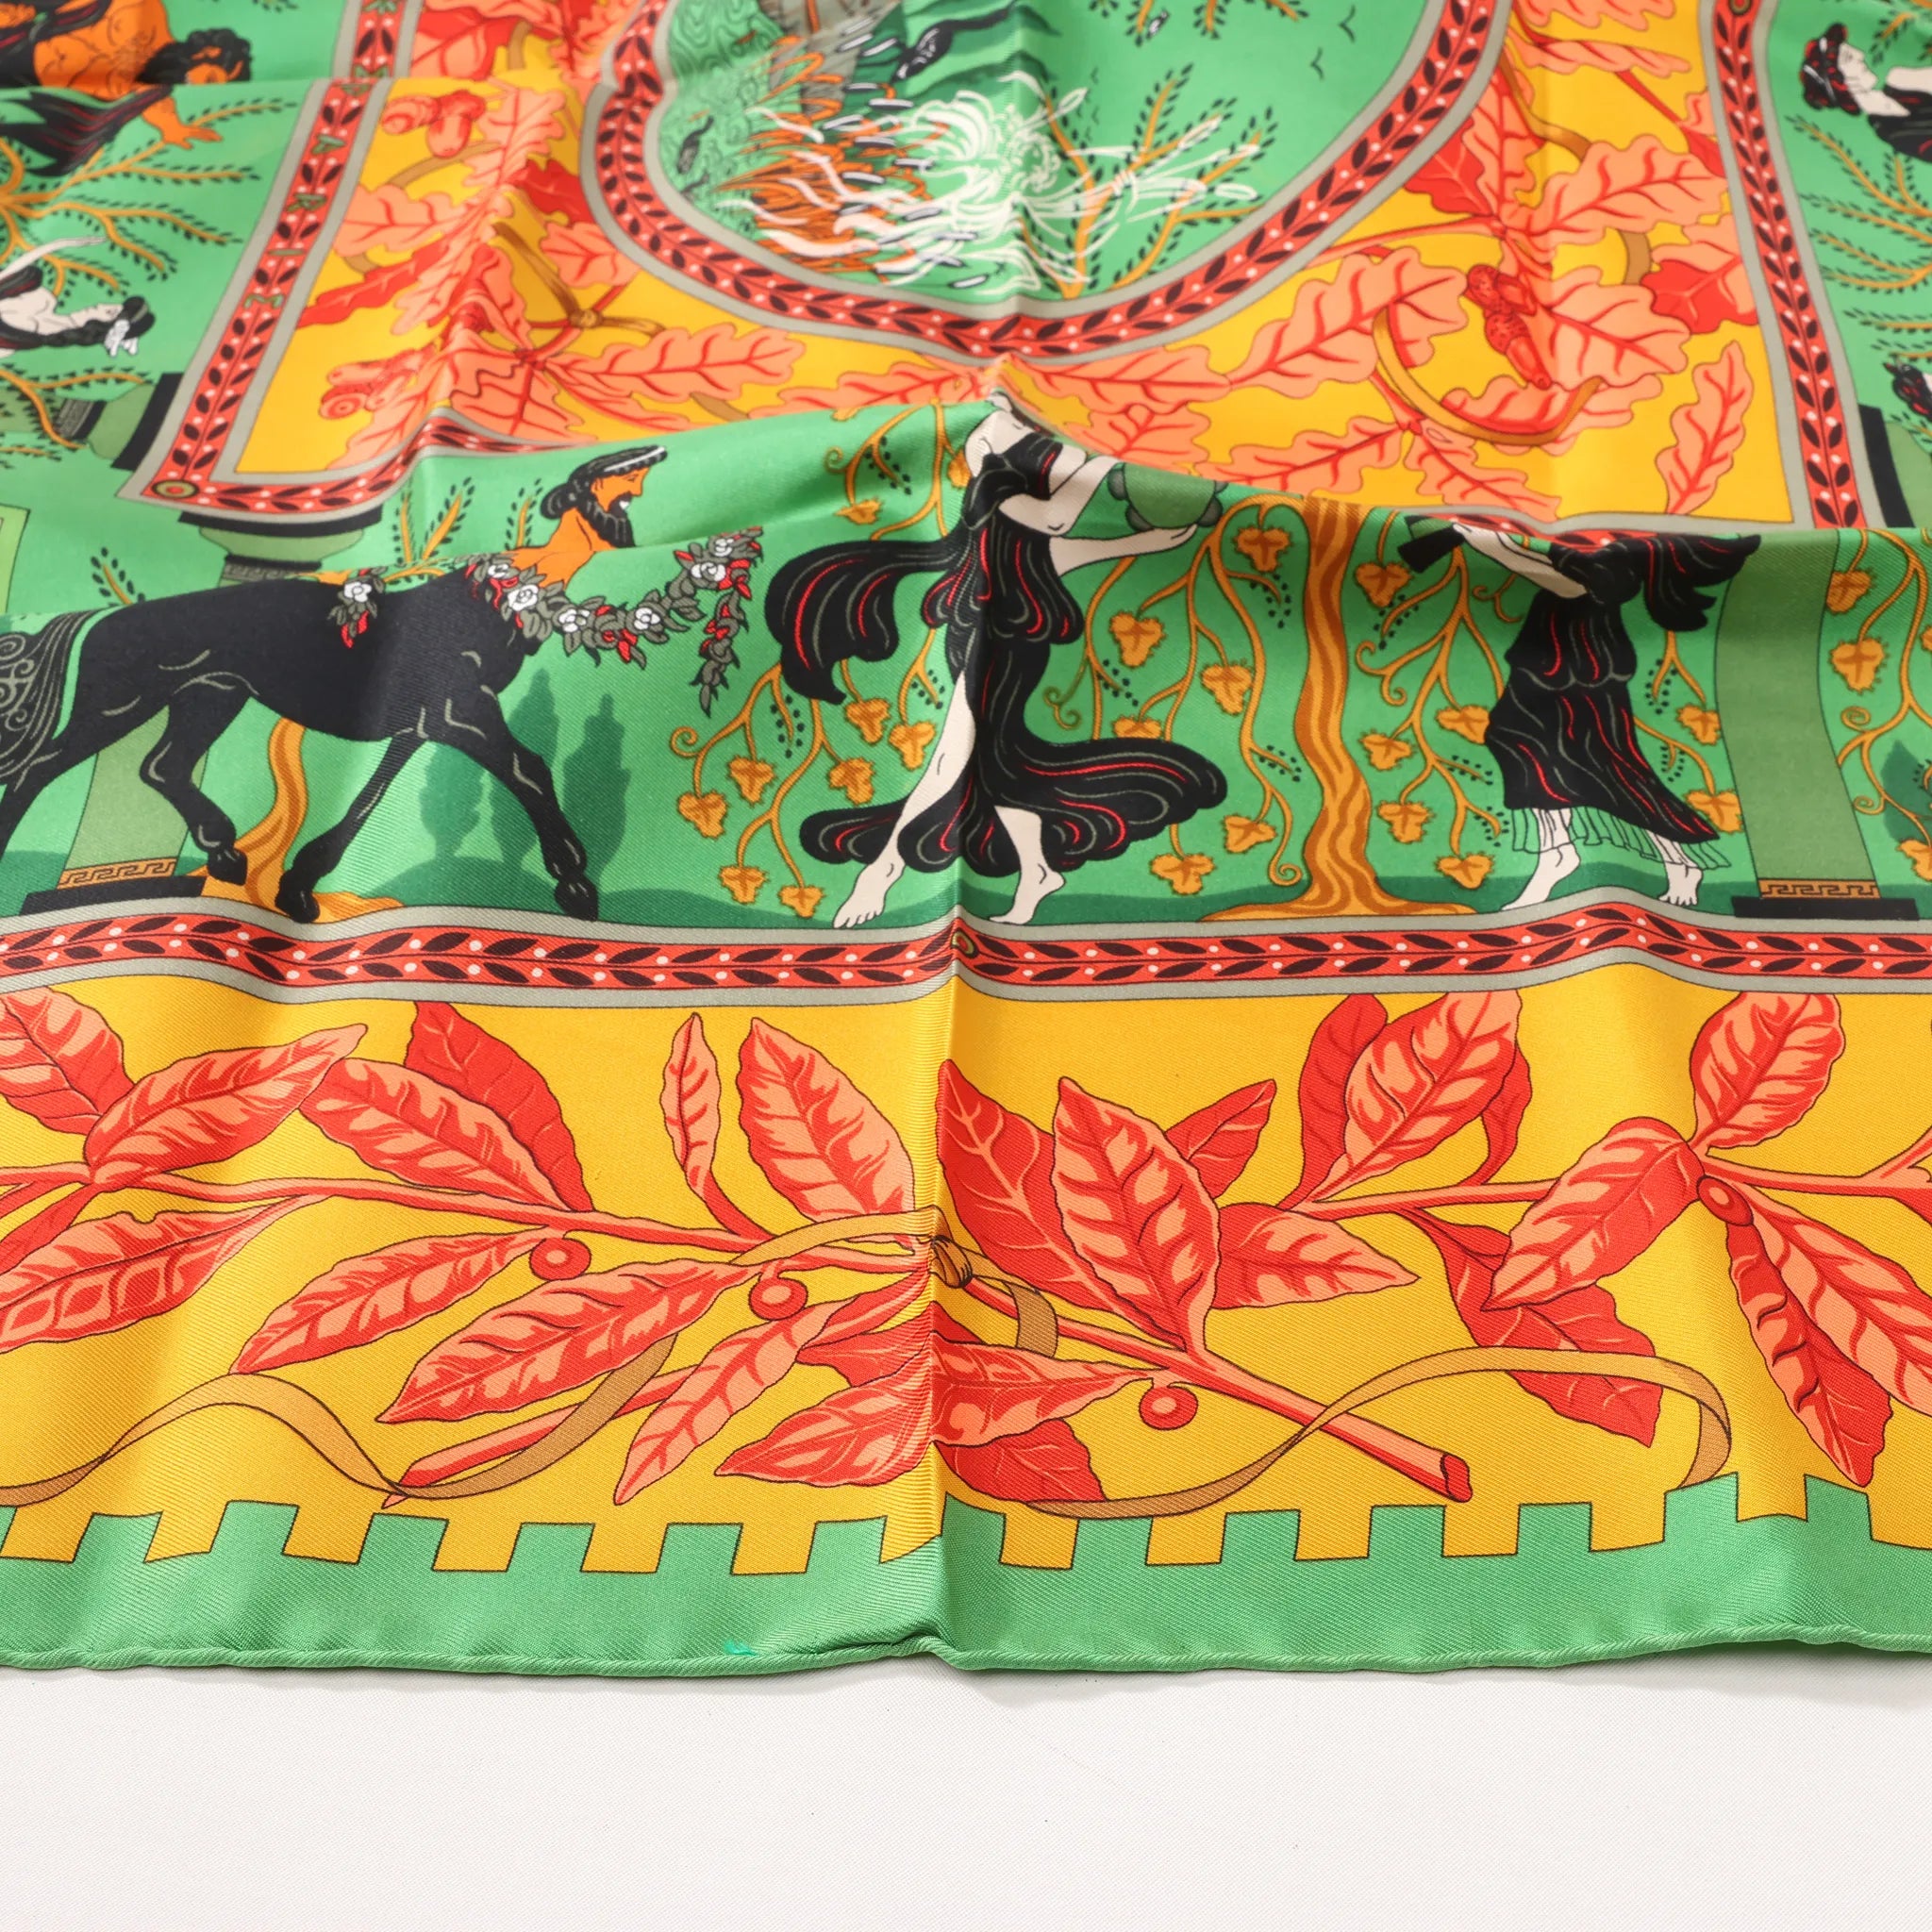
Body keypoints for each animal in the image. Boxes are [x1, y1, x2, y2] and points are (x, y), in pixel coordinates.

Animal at [0, 445, 666, 923]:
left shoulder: (422, 724)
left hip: (212, 695)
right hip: (121, 701)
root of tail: (100, 619)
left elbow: (368, 799)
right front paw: (575, 881)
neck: (505, 593)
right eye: (590, 480)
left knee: (162, 766)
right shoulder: (461, 709)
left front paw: (298, 886)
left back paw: (226, 852)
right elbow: (528, 769)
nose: (648, 455)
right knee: (39, 769)